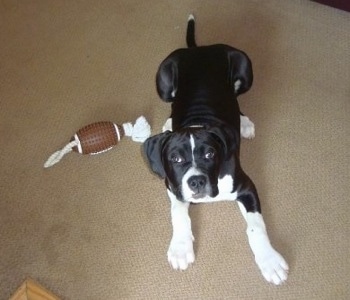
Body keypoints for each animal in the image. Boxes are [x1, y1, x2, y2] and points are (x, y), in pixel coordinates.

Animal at [144, 14, 288, 286]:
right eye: (175, 158)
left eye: (210, 154)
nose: (197, 182)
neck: (197, 122)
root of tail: (199, 49)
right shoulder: (173, 186)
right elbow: (178, 213)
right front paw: (180, 248)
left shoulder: (247, 187)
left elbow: (256, 226)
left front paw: (270, 260)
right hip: (163, 82)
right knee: (171, 100)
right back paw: (168, 123)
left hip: (245, 67)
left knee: (236, 94)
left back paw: (244, 123)